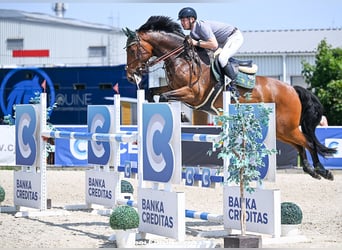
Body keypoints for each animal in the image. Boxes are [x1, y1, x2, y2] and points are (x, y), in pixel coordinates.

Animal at [123, 15, 336, 180]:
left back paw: (322, 171)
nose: (130, 76)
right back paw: (310, 169)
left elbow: (165, 96)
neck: (181, 58)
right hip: (281, 129)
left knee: (308, 142)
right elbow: (153, 92)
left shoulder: (192, 93)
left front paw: (178, 116)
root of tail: (292, 89)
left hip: (286, 126)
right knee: (300, 144)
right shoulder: (174, 87)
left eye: (132, 50)